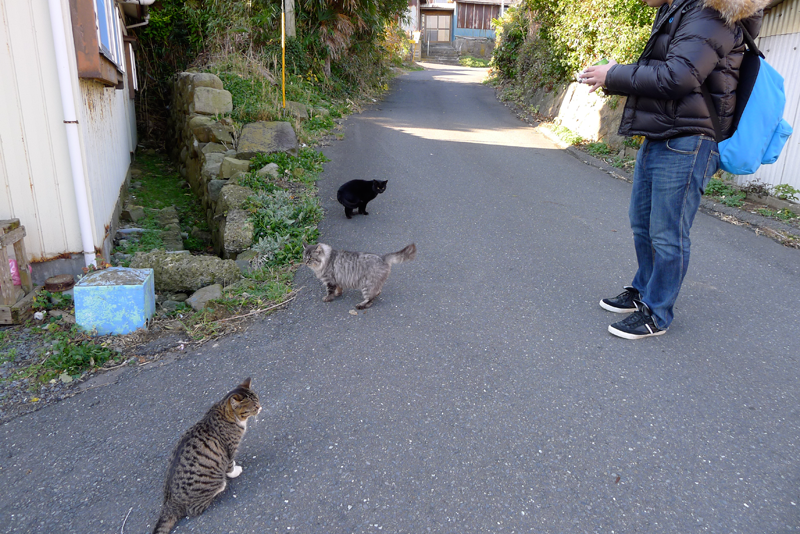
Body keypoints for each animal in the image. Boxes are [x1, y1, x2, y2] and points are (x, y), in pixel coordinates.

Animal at [152, 378, 260, 532]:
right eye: (254, 406)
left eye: (258, 400)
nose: (260, 407)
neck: (225, 413)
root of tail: (170, 504)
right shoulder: (229, 449)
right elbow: (230, 465)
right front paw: (235, 471)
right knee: (194, 510)